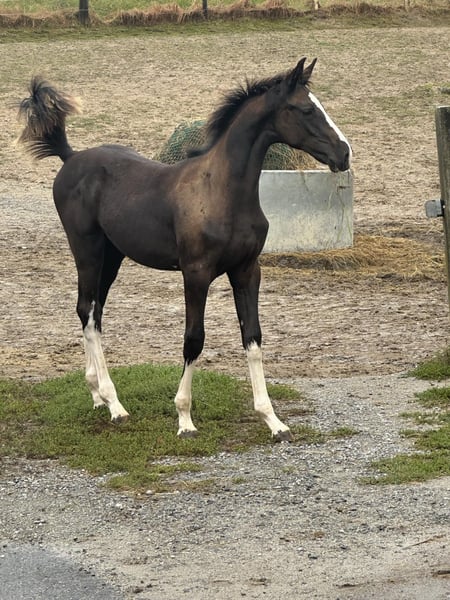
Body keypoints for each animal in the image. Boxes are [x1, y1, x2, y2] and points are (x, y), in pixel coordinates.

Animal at [17, 58, 351, 441]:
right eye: (306, 109)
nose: (344, 153)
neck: (222, 191)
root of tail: (70, 157)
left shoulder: (247, 271)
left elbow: (252, 338)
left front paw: (273, 421)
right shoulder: (196, 273)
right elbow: (194, 339)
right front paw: (184, 419)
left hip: (112, 257)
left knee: (93, 311)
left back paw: (97, 395)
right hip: (86, 251)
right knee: (87, 312)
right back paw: (115, 405)